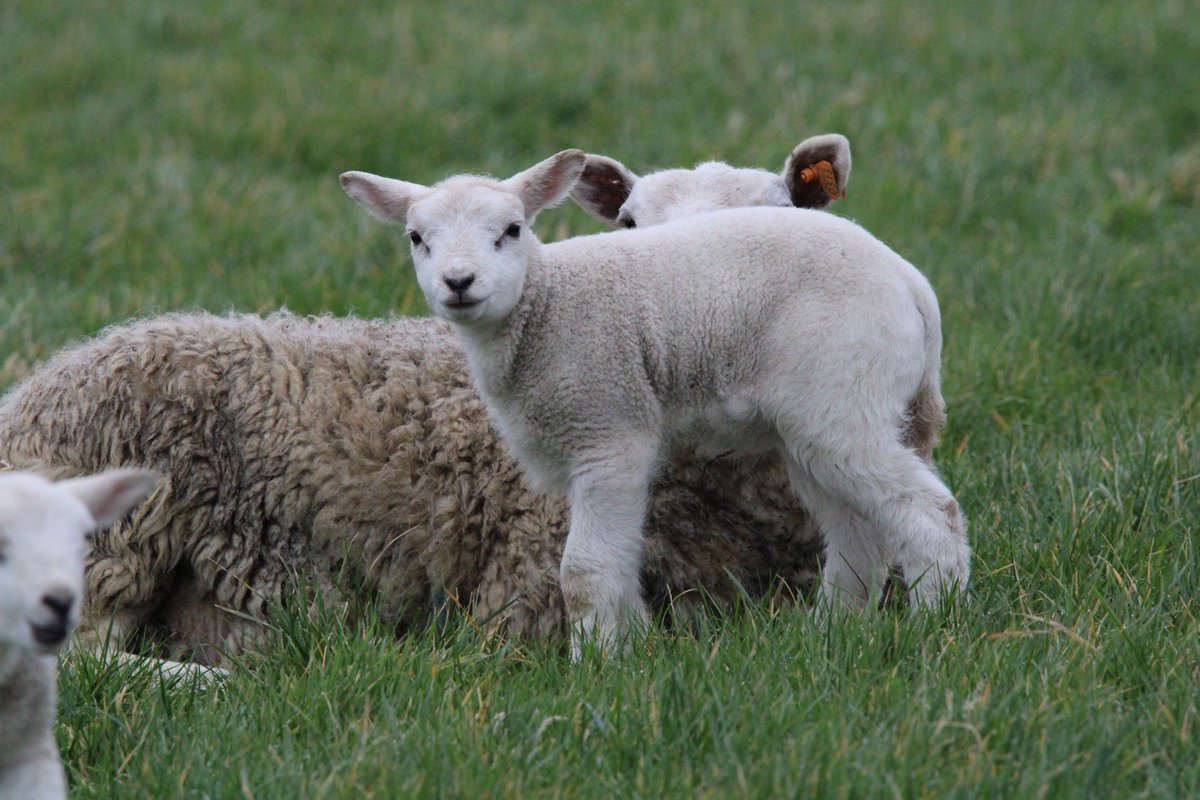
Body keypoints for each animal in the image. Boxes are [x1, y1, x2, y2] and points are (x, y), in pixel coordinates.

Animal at [339, 149, 970, 653]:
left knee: (930, 511)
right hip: (817, 423)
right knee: (856, 533)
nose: (459, 282)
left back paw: (937, 623)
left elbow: (584, 572)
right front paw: (630, 649)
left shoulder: (610, 431)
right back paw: (833, 632)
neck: (544, 306)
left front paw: (593, 666)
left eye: (512, 230)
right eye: (417, 239)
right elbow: (619, 565)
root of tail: (912, 284)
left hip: (845, 398)